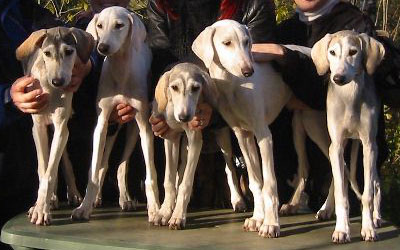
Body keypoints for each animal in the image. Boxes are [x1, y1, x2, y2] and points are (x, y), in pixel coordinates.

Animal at [15, 26, 94, 225]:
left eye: (69, 52)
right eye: (47, 53)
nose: (58, 82)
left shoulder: (60, 126)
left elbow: (50, 171)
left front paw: (42, 209)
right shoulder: (38, 127)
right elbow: (43, 168)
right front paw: (40, 205)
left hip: (63, 129)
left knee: (63, 159)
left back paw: (72, 193)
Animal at [71, 5, 160, 221]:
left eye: (119, 25)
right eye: (99, 25)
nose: (102, 47)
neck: (120, 72)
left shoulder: (145, 127)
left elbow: (150, 174)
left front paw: (155, 209)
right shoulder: (102, 123)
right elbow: (94, 171)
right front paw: (83, 207)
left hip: (132, 131)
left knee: (121, 166)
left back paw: (126, 199)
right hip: (112, 129)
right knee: (103, 165)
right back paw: (97, 199)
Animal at [153, 62, 247, 229]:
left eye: (196, 88)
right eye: (174, 87)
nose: (184, 117)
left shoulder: (195, 140)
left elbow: (186, 184)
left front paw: (178, 215)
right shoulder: (171, 138)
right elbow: (169, 180)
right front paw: (164, 211)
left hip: (222, 138)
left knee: (229, 168)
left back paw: (238, 200)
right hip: (184, 146)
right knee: (181, 169)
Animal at [192, 20, 292, 238]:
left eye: (247, 42)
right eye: (226, 43)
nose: (249, 71)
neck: (234, 85)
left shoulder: (264, 135)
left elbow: (269, 183)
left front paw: (270, 224)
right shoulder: (243, 135)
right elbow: (255, 182)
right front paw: (257, 219)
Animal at [312, 30, 384, 243]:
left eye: (353, 52)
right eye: (332, 52)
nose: (338, 77)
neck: (350, 97)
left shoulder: (369, 146)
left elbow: (368, 194)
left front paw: (368, 228)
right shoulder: (336, 145)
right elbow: (341, 193)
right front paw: (342, 230)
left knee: (376, 185)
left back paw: (376, 217)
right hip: (339, 147)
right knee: (339, 178)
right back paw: (326, 208)